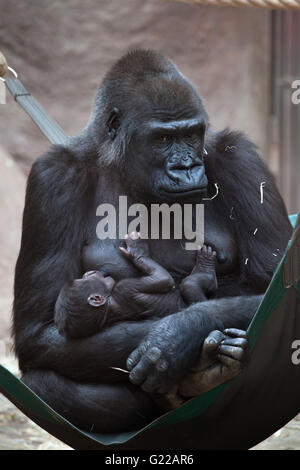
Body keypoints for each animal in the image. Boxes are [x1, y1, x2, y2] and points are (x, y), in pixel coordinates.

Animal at [54, 232, 218, 338]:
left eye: (85, 277)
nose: (91, 272)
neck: (109, 306)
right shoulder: (124, 288)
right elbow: (163, 280)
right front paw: (137, 250)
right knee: (189, 285)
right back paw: (205, 267)